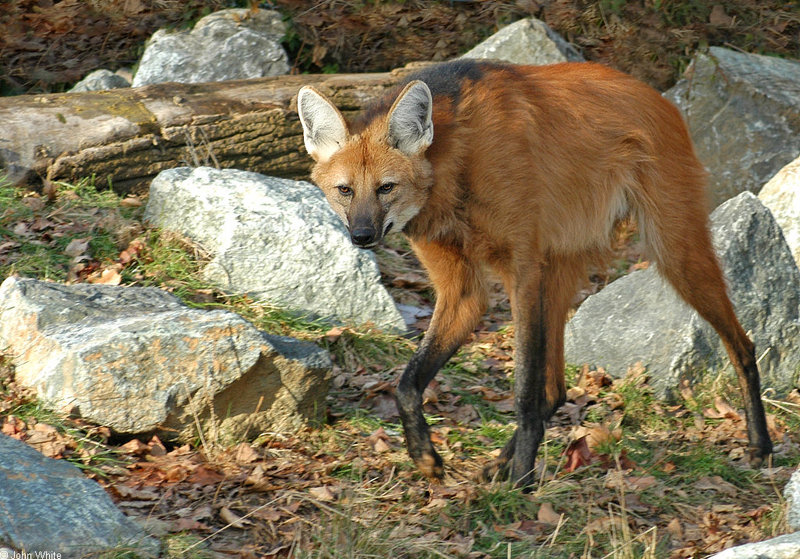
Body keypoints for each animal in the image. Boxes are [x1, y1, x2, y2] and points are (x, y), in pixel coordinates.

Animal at [296, 60, 772, 486]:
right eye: (345, 190)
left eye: (386, 188)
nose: (361, 235)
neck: (456, 166)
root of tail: (662, 98)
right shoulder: (467, 290)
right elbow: (409, 383)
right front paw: (426, 457)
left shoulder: (522, 270)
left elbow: (523, 387)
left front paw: (523, 481)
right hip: (561, 267)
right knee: (556, 388)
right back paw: (499, 464)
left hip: (674, 252)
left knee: (743, 344)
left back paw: (760, 445)